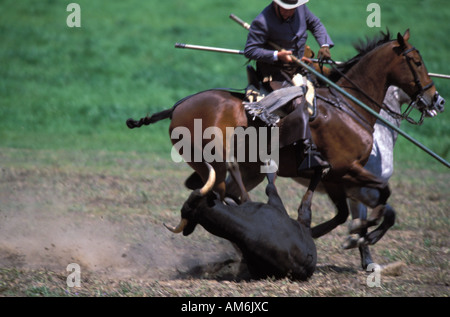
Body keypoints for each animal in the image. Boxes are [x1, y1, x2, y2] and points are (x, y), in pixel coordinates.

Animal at [126, 30, 442, 266]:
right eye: (416, 61)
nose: (436, 99)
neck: (348, 106)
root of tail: (177, 107)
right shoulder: (347, 169)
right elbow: (380, 198)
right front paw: (362, 236)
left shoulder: (337, 176)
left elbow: (357, 208)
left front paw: (352, 235)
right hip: (215, 159)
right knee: (224, 186)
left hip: (227, 168)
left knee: (221, 192)